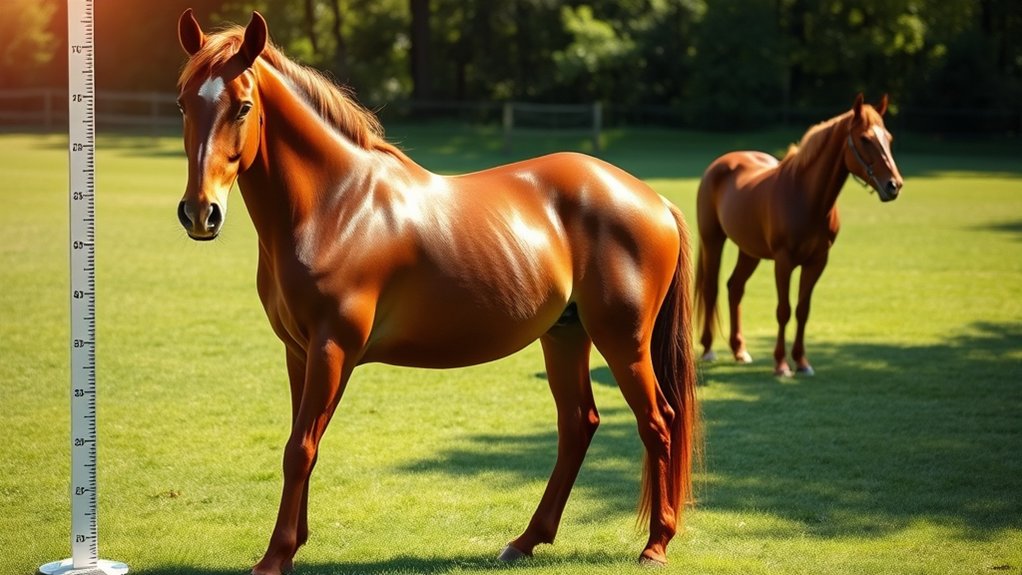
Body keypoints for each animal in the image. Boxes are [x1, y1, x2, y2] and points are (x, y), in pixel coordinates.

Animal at [175, 10, 699, 575]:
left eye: (243, 106)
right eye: (183, 102)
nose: (200, 213)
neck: (337, 206)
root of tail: (655, 200)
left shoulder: (332, 348)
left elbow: (300, 448)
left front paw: (274, 557)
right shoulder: (300, 351)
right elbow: (302, 442)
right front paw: (294, 544)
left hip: (624, 340)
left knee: (658, 422)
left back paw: (655, 544)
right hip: (565, 335)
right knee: (578, 425)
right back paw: (526, 540)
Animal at [694, 94, 904, 377]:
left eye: (888, 139)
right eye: (865, 139)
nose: (894, 185)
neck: (806, 197)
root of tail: (722, 163)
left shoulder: (817, 262)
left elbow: (803, 310)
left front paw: (802, 362)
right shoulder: (784, 262)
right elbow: (784, 310)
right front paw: (781, 364)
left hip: (749, 251)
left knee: (735, 288)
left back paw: (740, 351)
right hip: (712, 239)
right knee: (711, 288)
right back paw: (708, 349)